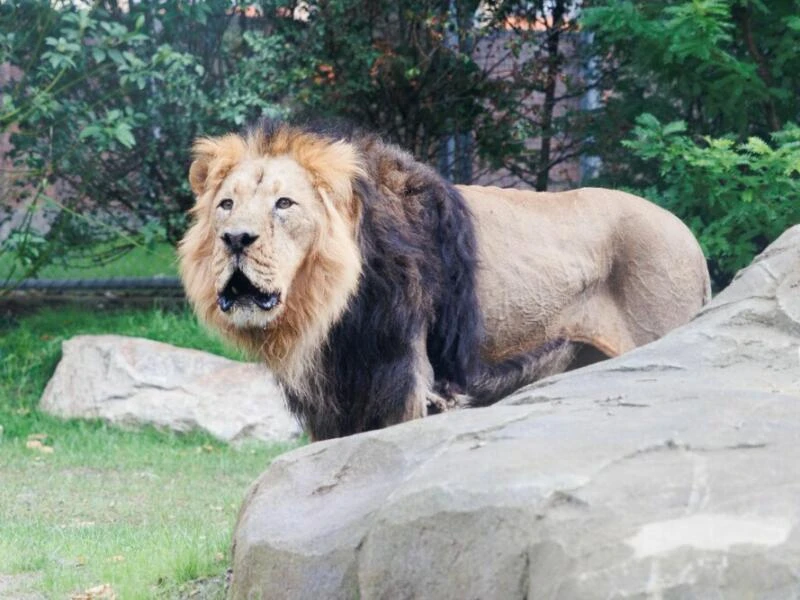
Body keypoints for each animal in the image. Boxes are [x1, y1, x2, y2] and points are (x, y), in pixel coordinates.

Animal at [178, 120, 708, 440]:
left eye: (284, 204)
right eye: (226, 204)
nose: (235, 239)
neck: (330, 309)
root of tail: (690, 238)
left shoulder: (406, 380)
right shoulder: (332, 399)